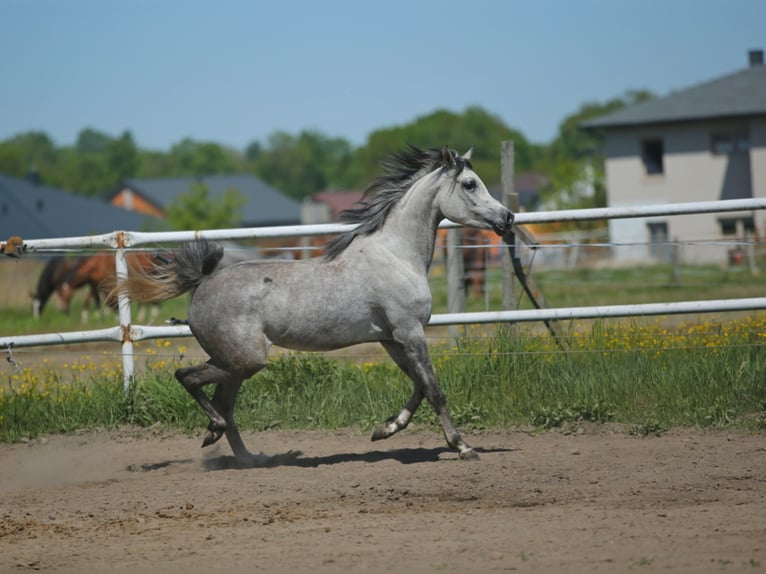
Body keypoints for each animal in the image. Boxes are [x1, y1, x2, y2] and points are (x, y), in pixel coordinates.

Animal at [111, 146, 512, 466]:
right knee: (190, 379)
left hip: (234, 362)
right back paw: (217, 432)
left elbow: (419, 387)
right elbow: (433, 389)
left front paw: (384, 429)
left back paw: (245, 455)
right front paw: (463, 447)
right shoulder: (410, 332)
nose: (507, 218)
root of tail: (202, 283)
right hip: (245, 360)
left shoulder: (393, 338)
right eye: (470, 184)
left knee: (224, 401)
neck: (396, 255)